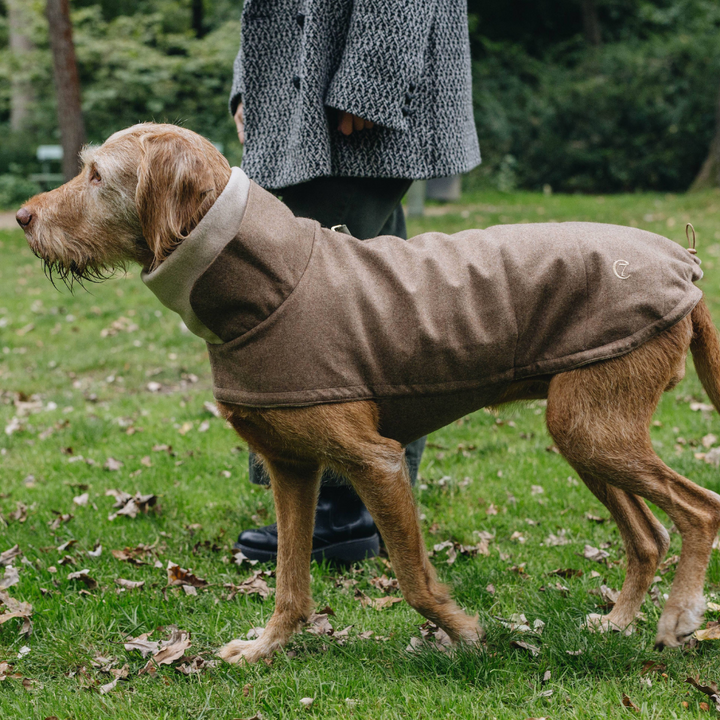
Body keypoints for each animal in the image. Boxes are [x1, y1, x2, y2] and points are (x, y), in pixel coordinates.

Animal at [15, 119, 720, 664]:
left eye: (97, 175)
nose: (21, 218)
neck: (269, 286)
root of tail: (684, 265)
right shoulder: (292, 468)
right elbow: (290, 584)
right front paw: (265, 649)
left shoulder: (375, 461)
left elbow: (411, 578)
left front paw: (465, 633)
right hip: (582, 427)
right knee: (649, 536)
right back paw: (619, 621)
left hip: (592, 427)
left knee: (701, 508)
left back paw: (679, 617)